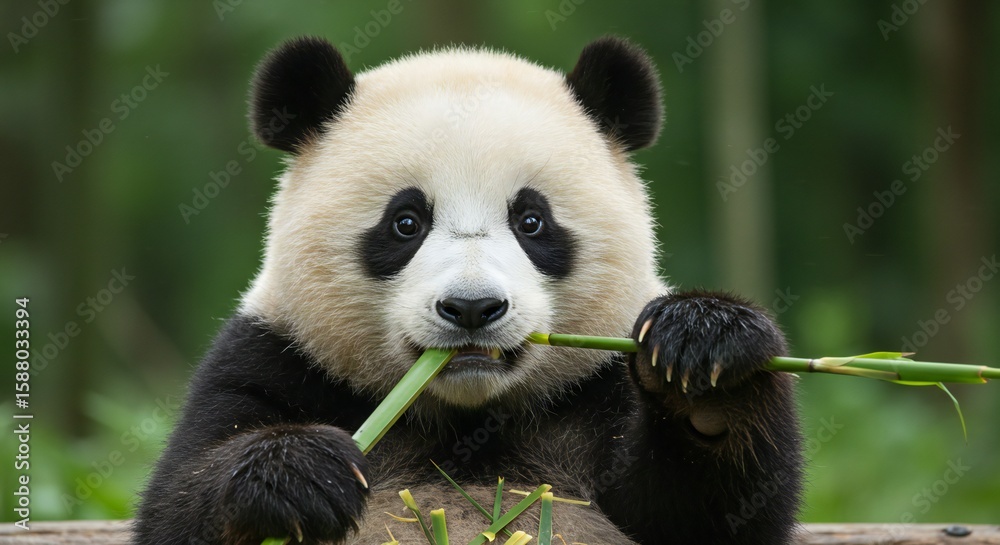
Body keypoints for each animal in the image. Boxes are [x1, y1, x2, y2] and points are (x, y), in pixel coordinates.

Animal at [133, 36, 802, 545]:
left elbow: (707, 514)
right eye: (405, 222)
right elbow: (177, 502)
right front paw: (299, 473)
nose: (473, 308)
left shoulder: (597, 386)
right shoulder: (276, 358)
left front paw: (704, 357)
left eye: (532, 221)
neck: (466, 419)